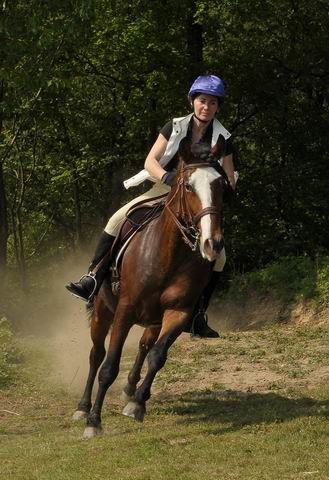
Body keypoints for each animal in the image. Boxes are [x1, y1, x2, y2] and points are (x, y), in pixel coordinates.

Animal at [72, 139, 228, 438]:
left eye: (221, 186)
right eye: (187, 186)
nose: (212, 244)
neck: (169, 255)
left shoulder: (178, 313)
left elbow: (157, 356)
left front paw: (137, 405)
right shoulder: (124, 311)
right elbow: (109, 366)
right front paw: (94, 421)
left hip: (153, 320)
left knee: (145, 346)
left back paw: (131, 391)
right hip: (103, 310)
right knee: (96, 354)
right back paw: (83, 407)